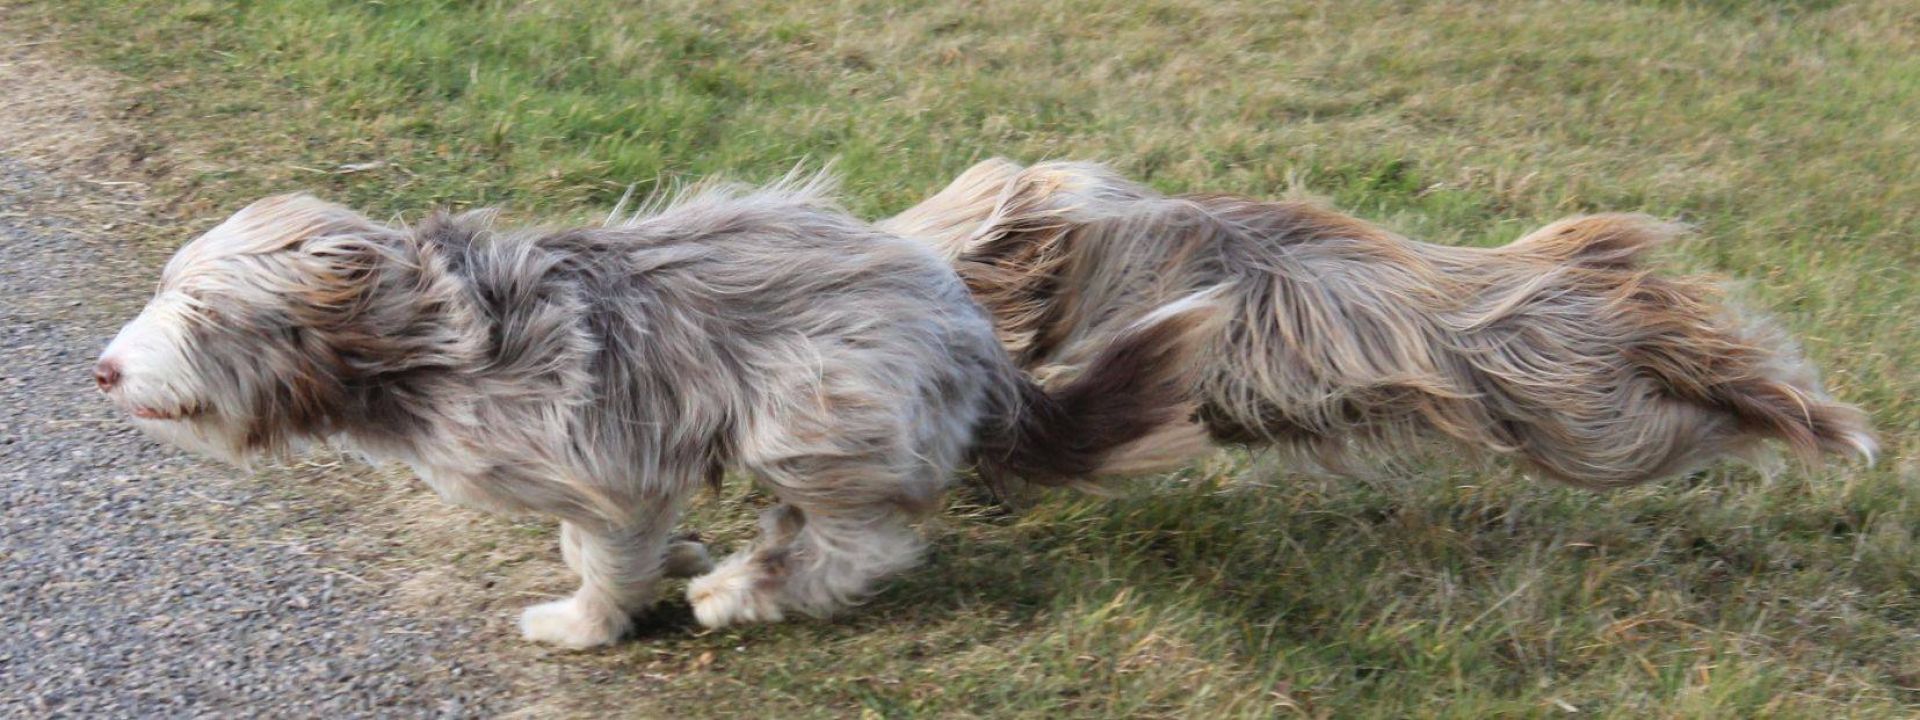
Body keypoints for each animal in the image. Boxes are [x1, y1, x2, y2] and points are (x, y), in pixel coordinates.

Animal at [95, 175, 1220, 648]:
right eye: (169, 288)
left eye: (203, 310)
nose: (103, 370)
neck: (423, 342)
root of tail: (970, 323)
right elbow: (599, 536)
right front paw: (670, 556)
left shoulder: (604, 462)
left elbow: (604, 552)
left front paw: (585, 623)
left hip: (814, 401)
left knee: (869, 540)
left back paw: (744, 591)